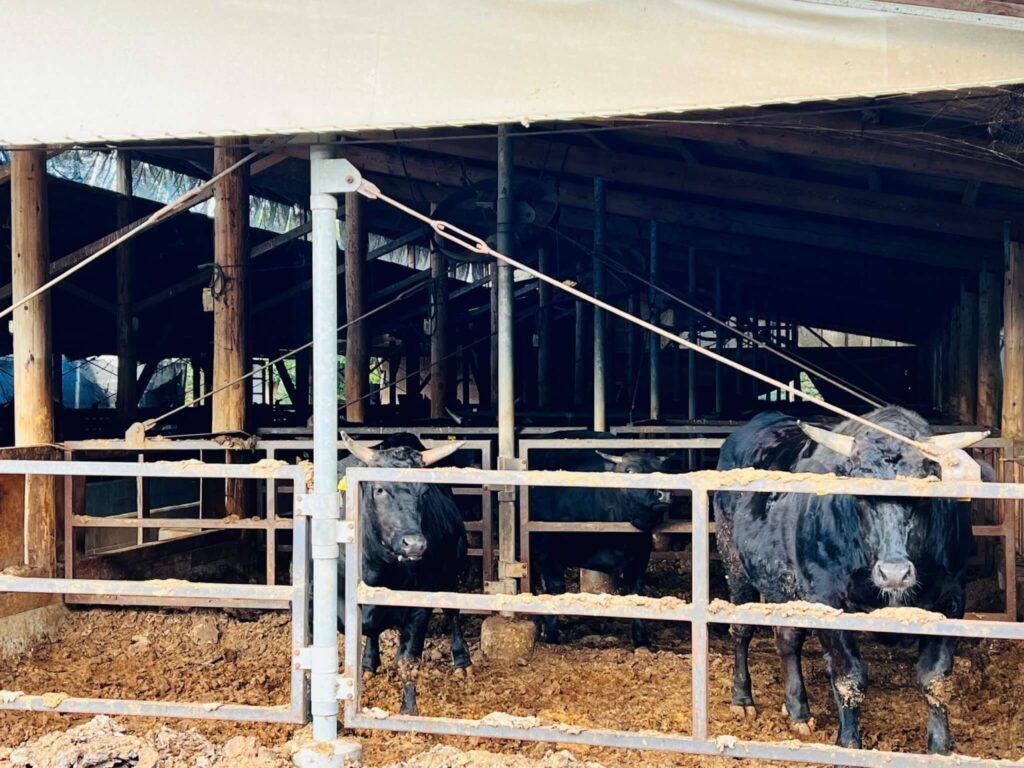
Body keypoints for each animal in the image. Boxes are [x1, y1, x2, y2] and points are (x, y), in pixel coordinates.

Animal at [339, 434, 475, 716]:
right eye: (379, 489)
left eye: (424, 491)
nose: (414, 544)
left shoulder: (418, 606)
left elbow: (408, 661)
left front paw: (408, 711)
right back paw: (369, 664)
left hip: (450, 574)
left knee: (453, 613)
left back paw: (462, 662)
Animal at [528, 434, 671, 651]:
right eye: (629, 471)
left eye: (663, 472)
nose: (662, 493)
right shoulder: (547, 554)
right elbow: (555, 590)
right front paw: (551, 635)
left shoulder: (640, 558)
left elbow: (636, 594)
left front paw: (642, 640)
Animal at [712, 409, 991, 757]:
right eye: (860, 494)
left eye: (925, 492)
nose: (894, 573)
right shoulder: (827, 599)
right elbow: (849, 675)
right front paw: (848, 743)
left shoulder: (951, 600)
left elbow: (935, 678)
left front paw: (940, 749)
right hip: (735, 563)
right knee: (742, 630)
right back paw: (742, 699)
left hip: (784, 585)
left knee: (787, 639)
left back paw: (796, 710)